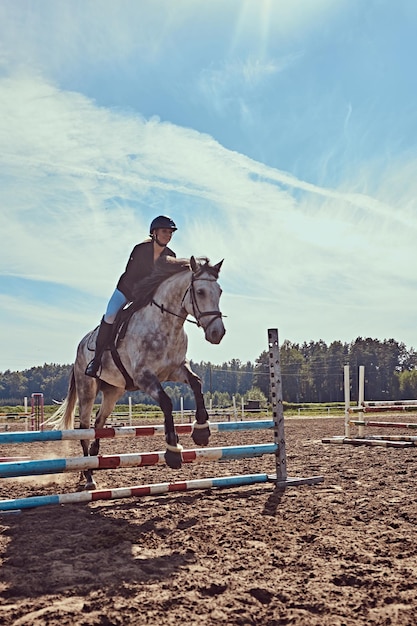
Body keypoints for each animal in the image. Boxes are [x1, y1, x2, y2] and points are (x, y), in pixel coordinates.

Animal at [49, 254, 226, 488]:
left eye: (220, 291)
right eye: (200, 292)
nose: (217, 333)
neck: (166, 325)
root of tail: (80, 346)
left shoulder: (175, 369)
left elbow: (197, 383)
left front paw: (202, 432)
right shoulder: (144, 378)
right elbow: (167, 402)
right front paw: (173, 453)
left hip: (113, 391)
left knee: (99, 422)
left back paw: (92, 465)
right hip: (87, 389)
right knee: (84, 428)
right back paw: (88, 477)